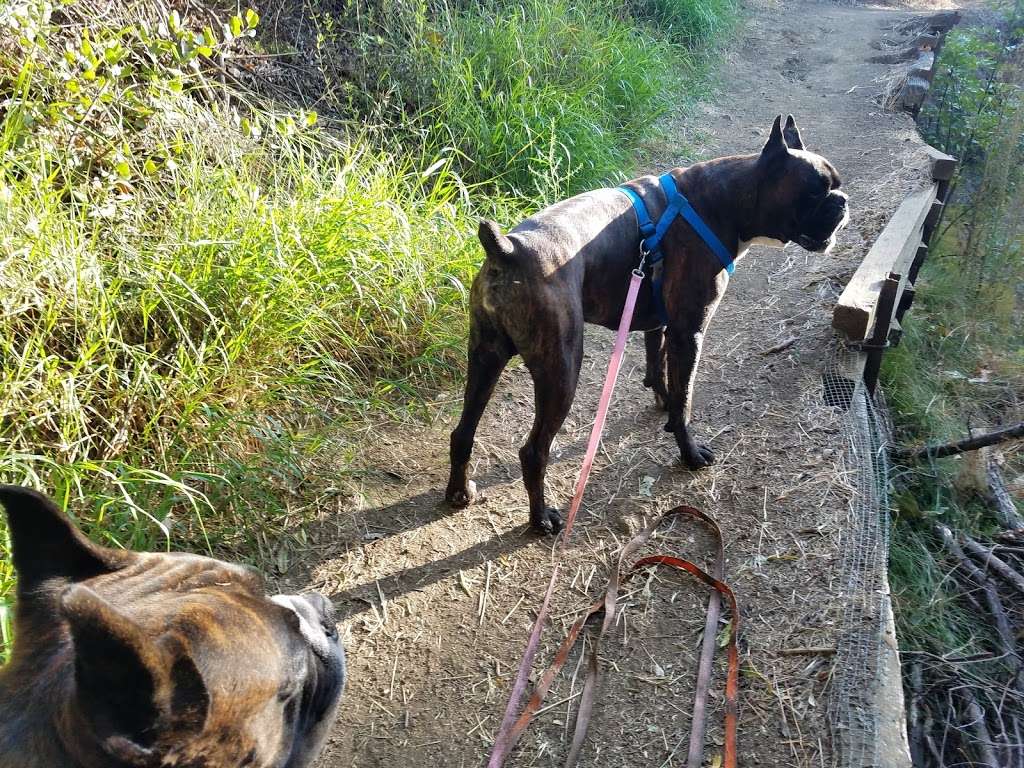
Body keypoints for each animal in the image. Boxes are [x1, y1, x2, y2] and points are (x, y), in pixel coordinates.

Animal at [444, 114, 851, 536]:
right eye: (814, 191)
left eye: (835, 186)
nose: (842, 201)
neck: (723, 199)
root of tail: (508, 250)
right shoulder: (689, 333)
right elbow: (686, 399)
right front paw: (689, 450)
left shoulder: (659, 323)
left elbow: (659, 368)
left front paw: (663, 403)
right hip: (561, 370)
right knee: (533, 451)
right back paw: (541, 517)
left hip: (485, 359)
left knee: (463, 431)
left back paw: (459, 492)